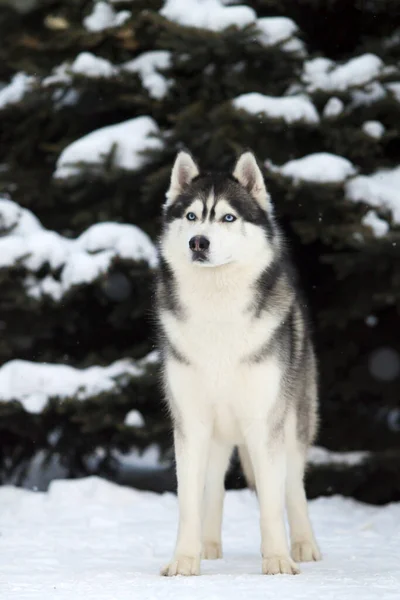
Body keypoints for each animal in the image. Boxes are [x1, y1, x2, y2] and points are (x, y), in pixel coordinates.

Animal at [156, 150, 322, 576]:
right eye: (192, 216)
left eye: (228, 217)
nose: (199, 242)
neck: (218, 311)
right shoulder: (190, 422)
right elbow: (189, 501)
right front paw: (185, 560)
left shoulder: (265, 423)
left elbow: (271, 502)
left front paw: (277, 560)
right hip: (217, 435)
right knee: (213, 486)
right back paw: (209, 546)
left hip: (294, 423)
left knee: (293, 487)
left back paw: (304, 545)